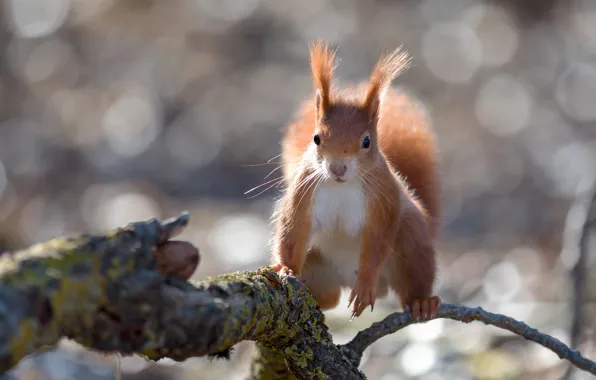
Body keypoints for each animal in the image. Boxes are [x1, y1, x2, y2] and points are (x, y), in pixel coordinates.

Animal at [272, 41, 442, 320]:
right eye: (316, 138)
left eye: (367, 141)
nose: (338, 168)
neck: (341, 186)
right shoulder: (303, 194)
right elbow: (292, 232)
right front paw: (286, 269)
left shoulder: (383, 204)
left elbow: (375, 246)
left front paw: (364, 287)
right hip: (317, 266)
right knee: (328, 298)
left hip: (411, 244)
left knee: (412, 281)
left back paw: (421, 302)